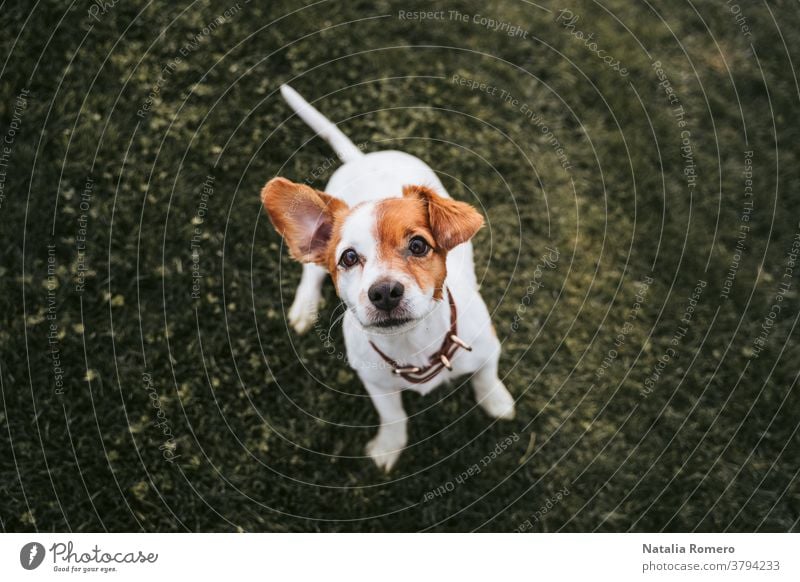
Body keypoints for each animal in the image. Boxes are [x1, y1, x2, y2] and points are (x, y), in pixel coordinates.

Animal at [260, 83, 516, 474]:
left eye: (418, 245)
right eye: (349, 258)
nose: (384, 292)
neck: (413, 344)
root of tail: (359, 159)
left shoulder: (488, 348)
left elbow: (487, 376)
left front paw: (496, 401)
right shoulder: (376, 384)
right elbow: (393, 415)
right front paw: (389, 446)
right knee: (310, 272)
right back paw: (305, 307)